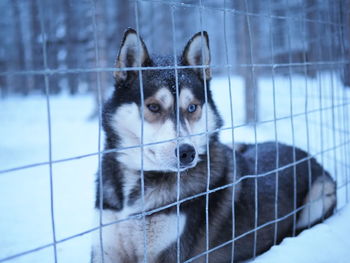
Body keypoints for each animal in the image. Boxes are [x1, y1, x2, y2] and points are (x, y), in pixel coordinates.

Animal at [92, 27, 336, 262]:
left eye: (192, 107)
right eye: (153, 107)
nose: (187, 153)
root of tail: (303, 152)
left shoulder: (168, 253)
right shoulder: (106, 248)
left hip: (322, 193)